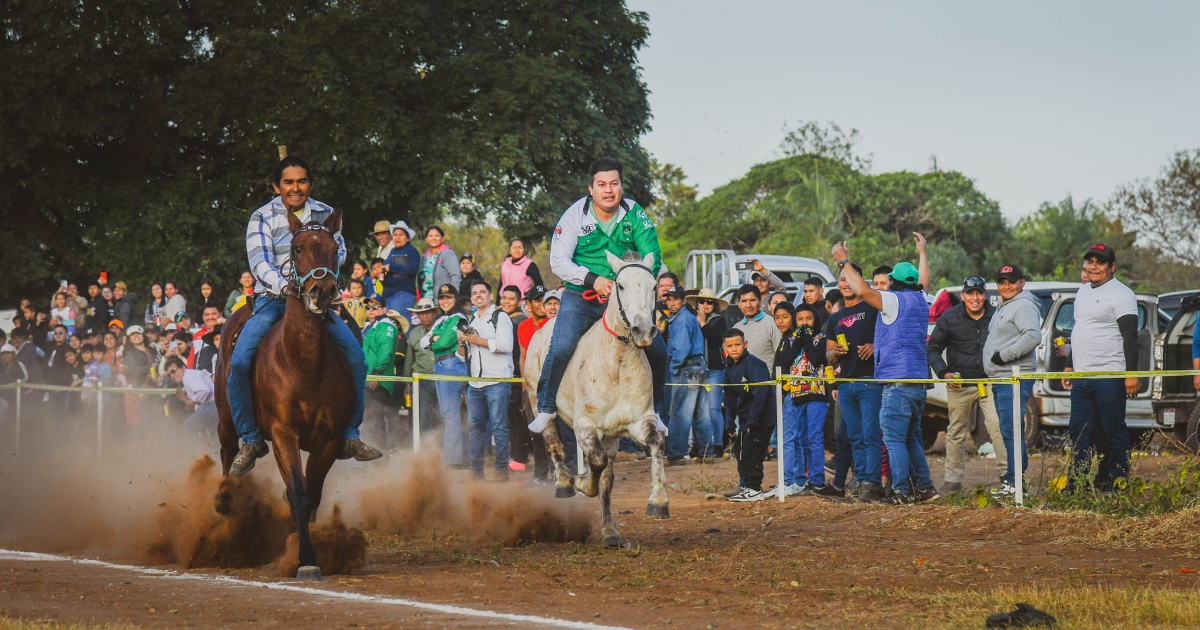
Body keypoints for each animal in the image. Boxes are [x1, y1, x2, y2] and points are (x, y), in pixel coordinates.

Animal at [213, 207, 350, 580]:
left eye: (335, 248)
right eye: (298, 247)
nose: (322, 291)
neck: (303, 363)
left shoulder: (329, 439)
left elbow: (311, 494)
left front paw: (307, 548)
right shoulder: (283, 433)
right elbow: (298, 493)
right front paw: (306, 559)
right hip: (227, 420)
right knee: (228, 454)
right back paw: (225, 499)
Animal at [523, 250, 667, 544]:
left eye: (654, 286)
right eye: (620, 285)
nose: (643, 331)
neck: (618, 363)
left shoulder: (638, 422)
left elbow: (655, 444)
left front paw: (658, 501)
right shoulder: (585, 426)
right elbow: (595, 463)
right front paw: (579, 481)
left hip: (611, 436)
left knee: (607, 480)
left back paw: (610, 533)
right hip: (538, 399)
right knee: (554, 444)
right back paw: (564, 484)